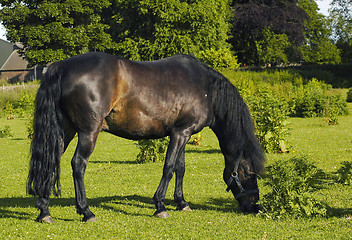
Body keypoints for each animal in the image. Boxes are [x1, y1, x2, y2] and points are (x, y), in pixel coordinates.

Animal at [26, 51, 264, 222]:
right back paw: (86, 212)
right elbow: (169, 168)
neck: (206, 87)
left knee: (50, 160)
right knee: (78, 164)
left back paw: (44, 212)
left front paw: (182, 203)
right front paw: (160, 206)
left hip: (64, 130)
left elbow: (180, 168)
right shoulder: (180, 133)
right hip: (88, 132)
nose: (254, 207)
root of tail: (61, 66)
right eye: (248, 172)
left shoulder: (183, 133)